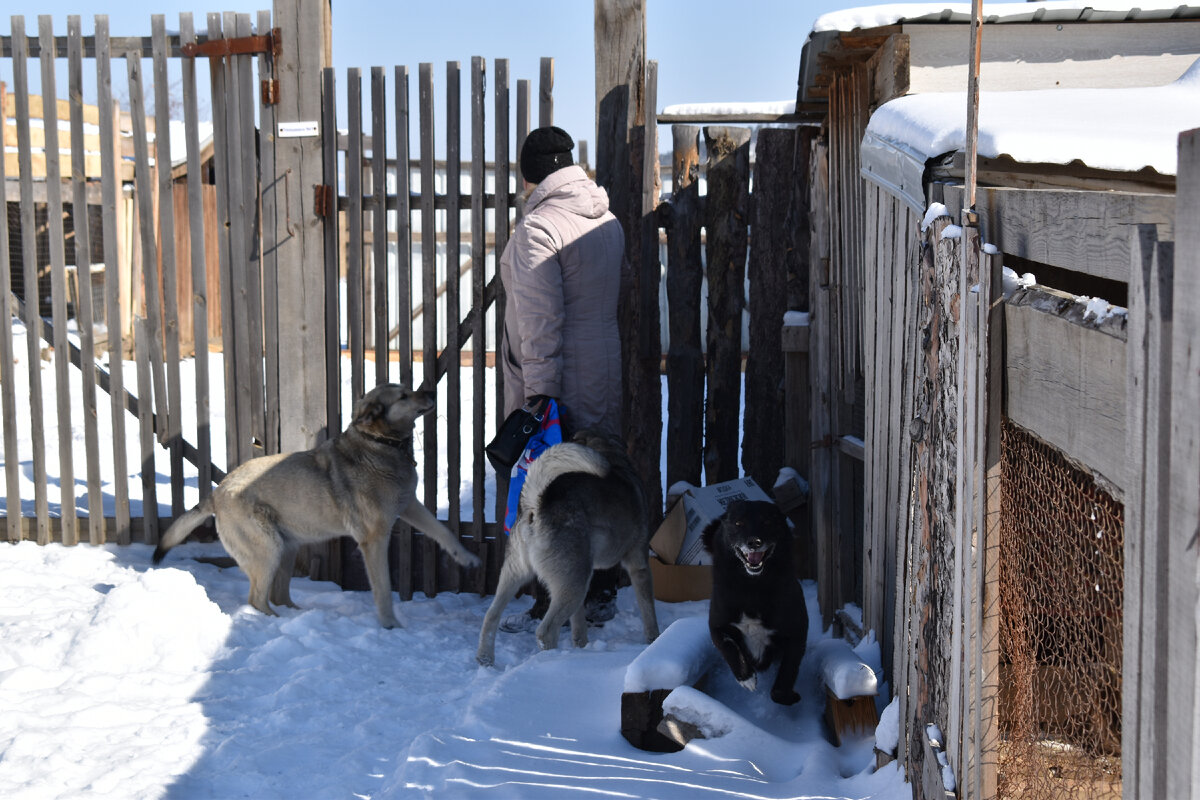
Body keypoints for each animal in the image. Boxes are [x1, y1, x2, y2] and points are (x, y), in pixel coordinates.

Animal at [152, 383, 480, 628]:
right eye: (403, 396)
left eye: (409, 389)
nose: (432, 391)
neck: (380, 444)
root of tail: (217, 492)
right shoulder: (374, 539)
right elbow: (384, 588)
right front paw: (390, 625)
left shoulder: (410, 505)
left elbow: (444, 532)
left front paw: (467, 558)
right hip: (268, 549)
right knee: (257, 599)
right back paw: (277, 622)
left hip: (286, 549)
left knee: (278, 594)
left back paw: (297, 614)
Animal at [475, 431, 662, 662]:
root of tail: (537, 504)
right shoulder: (639, 564)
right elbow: (648, 609)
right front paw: (654, 640)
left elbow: (578, 624)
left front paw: (581, 646)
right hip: (573, 585)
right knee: (545, 631)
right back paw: (553, 659)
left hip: (519, 575)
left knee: (491, 616)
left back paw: (485, 660)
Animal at [700, 501, 806, 705]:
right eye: (738, 523)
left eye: (767, 522)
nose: (754, 542)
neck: (751, 586)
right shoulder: (716, 626)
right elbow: (728, 646)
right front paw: (746, 677)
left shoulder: (797, 633)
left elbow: (787, 672)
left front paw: (787, 696)